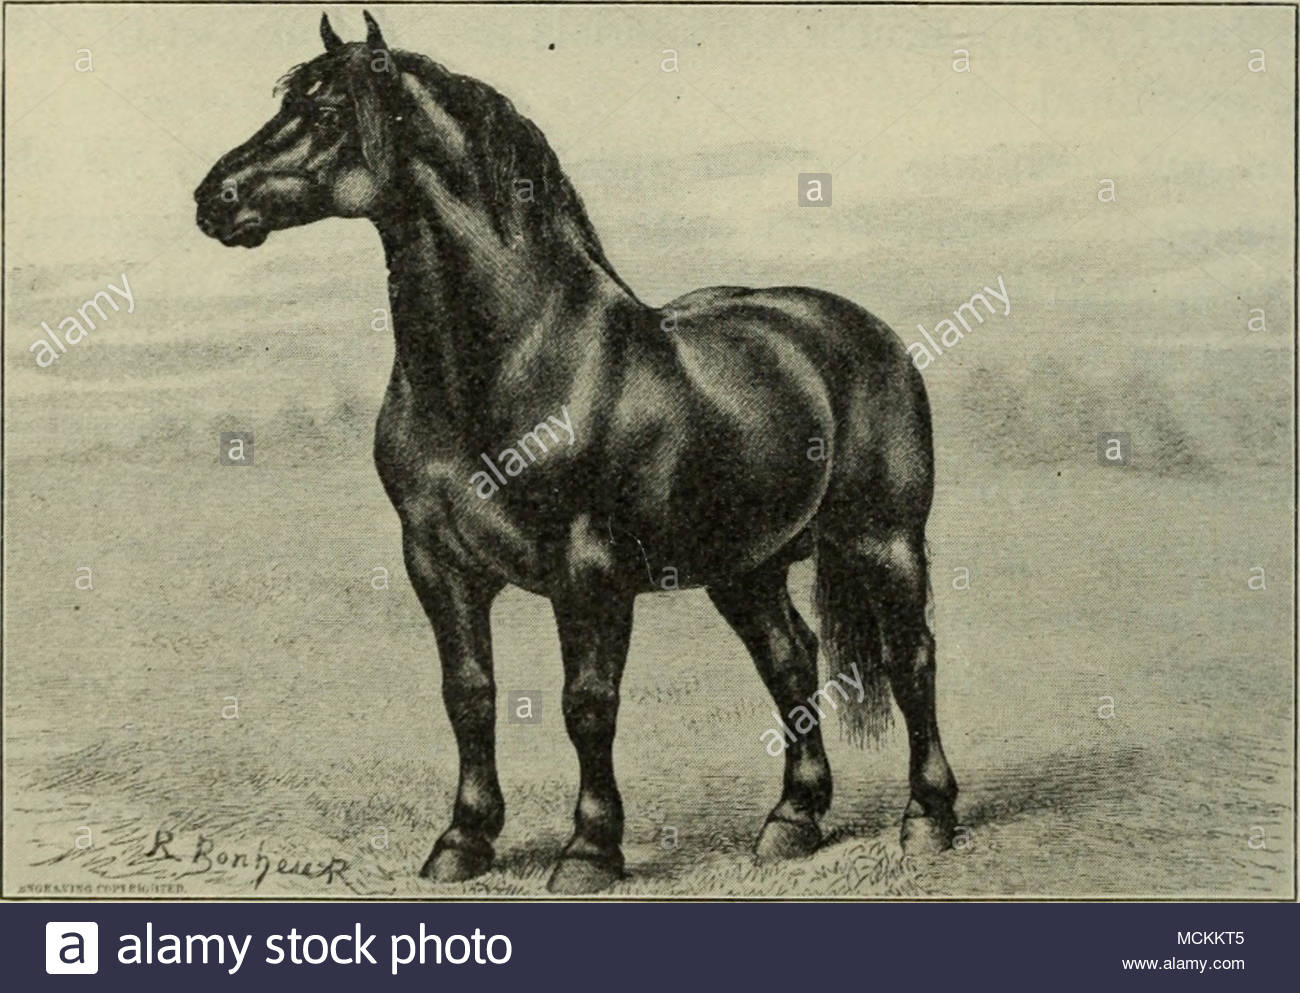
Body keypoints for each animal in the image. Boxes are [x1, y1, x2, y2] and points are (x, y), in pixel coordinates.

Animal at [195, 12, 958, 893]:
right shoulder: (437, 563)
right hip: (746, 566)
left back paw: (928, 818)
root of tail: (866, 332)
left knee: (910, 658)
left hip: (884, 541)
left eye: (324, 114)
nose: (213, 199)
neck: (514, 363)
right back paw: (792, 820)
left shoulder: (589, 571)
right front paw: (464, 840)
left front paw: (590, 849)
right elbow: (470, 695)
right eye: (286, 103)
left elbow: (586, 702)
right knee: (790, 660)